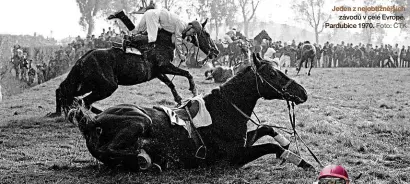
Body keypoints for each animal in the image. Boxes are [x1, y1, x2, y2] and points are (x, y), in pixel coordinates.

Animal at [69, 53, 316, 172]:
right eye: (273, 74)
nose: (303, 93)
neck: (224, 110)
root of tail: (91, 122)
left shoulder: (244, 142)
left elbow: (266, 127)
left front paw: (285, 140)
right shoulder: (235, 156)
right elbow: (272, 147)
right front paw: (302, 161)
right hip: (140, 120)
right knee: (112, 149)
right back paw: (143, 158)